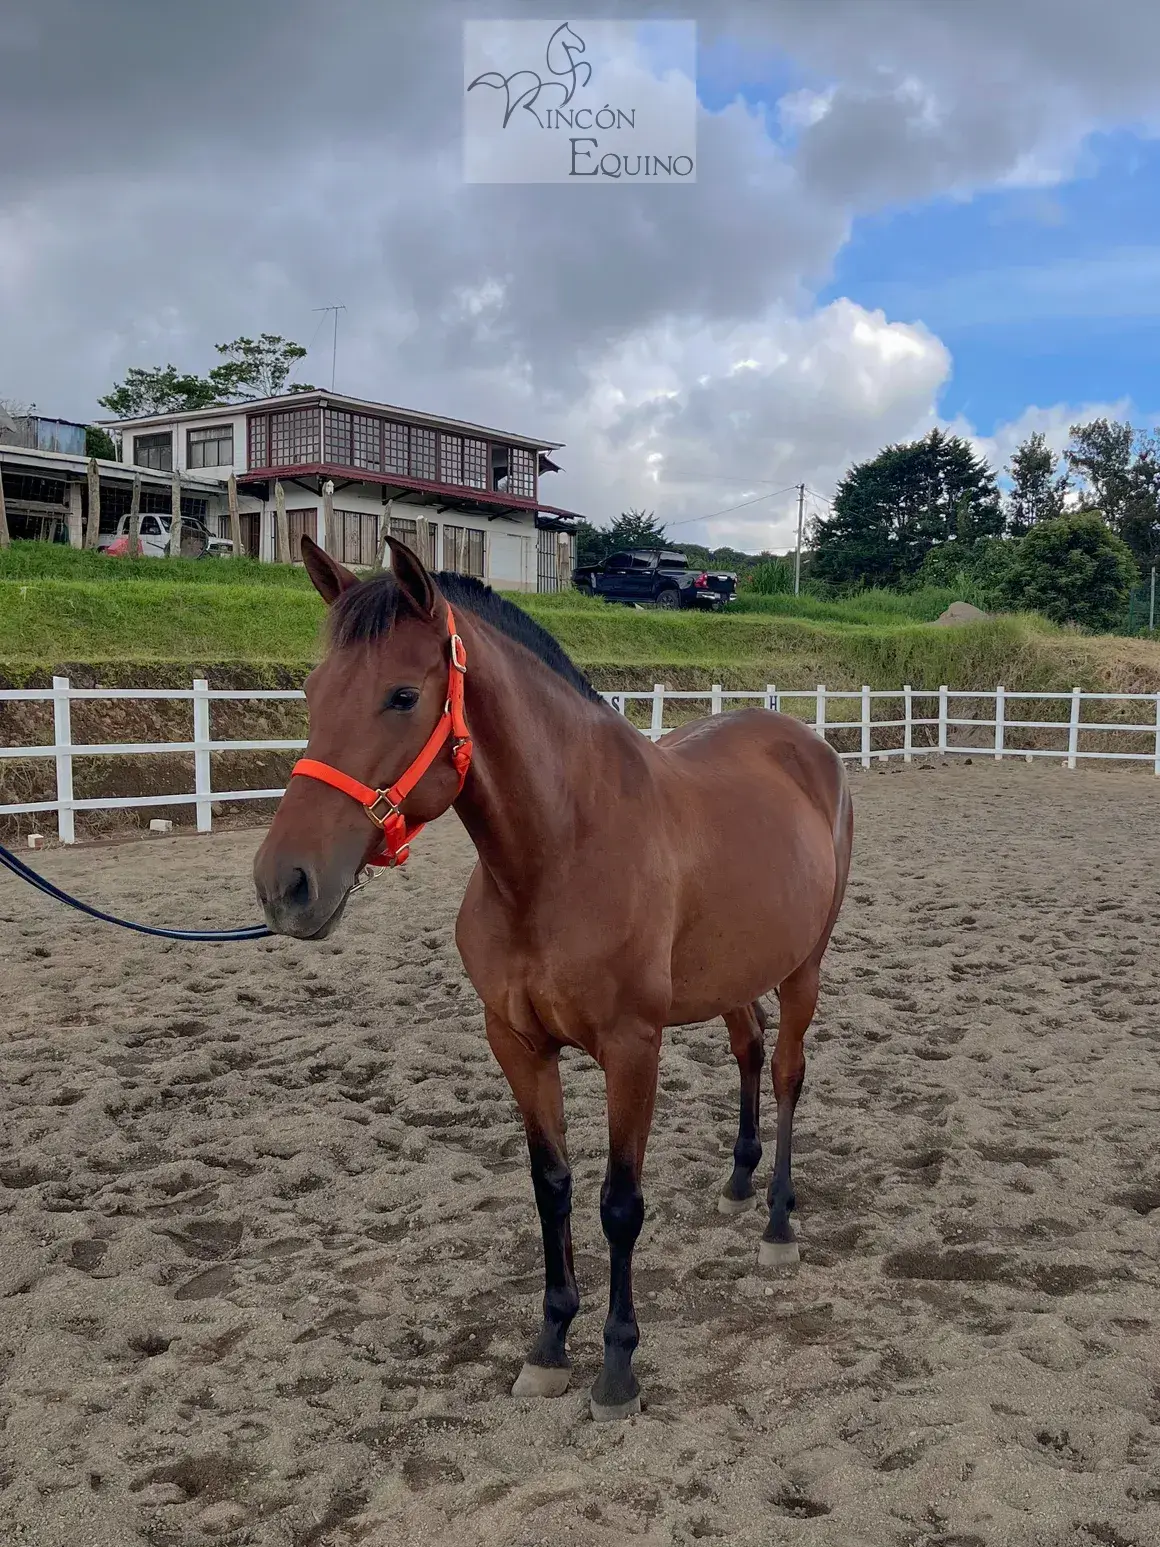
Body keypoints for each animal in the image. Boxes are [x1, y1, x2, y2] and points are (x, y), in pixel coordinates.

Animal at [254, 536, 853, 1422]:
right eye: (311, 691)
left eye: (402, 695)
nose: (285, 884)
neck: (559, 853)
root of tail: (807, 743)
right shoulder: (517, 1043)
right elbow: (552, 1185)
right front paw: (548, 1343)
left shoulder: (633, 1049)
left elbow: (618, 1202)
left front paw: (617, 1366)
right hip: (733, 971)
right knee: (748, 1052)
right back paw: (740, 1180)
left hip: (802, 967)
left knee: (783, 1073)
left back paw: (777, 1222)